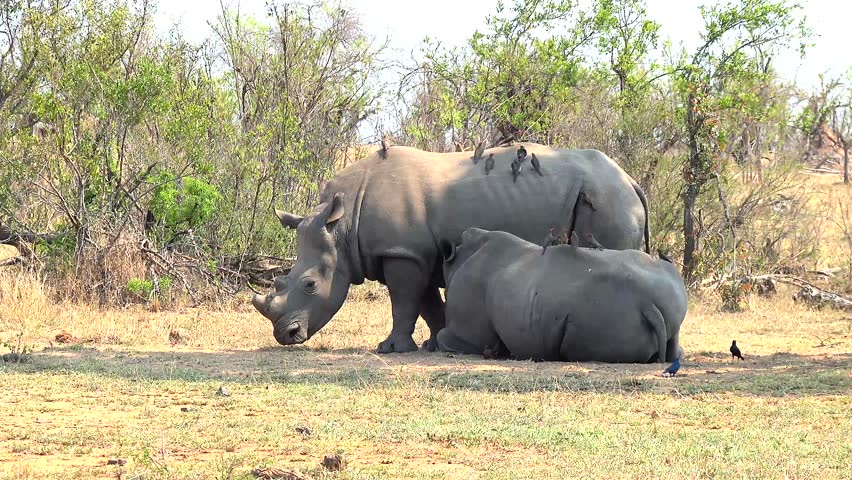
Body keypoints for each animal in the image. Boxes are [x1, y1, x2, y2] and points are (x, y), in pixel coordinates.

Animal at [252, 143, 651, 353]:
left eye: (310, 285)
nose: (285, 336)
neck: (342, 226)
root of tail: (631, 180)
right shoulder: (416, 253)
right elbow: (427, 304)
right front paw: (435, 344)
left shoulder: (401, 253)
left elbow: (404, 303)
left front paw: (391, 349)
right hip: (613, 197)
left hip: (609, 200)